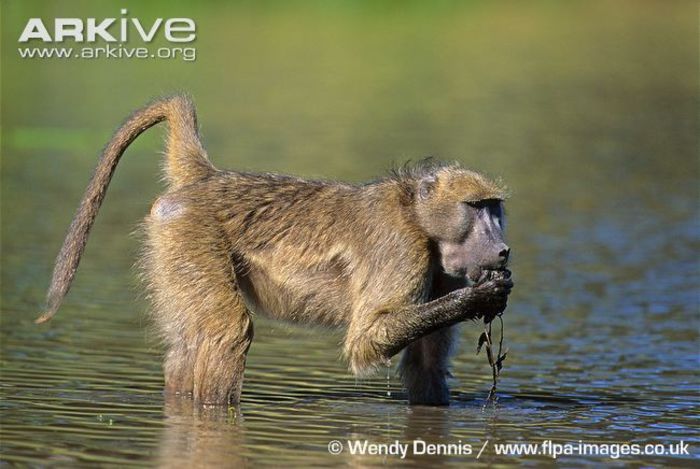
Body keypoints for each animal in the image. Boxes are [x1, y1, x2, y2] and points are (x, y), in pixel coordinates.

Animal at [37, 95, 513, 406]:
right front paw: (479, 297)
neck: (416, 215)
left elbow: (426, 370)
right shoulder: (400, 248)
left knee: (188, 346)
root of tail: (206, 178)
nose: (504, 250)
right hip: (187, 234)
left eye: (495, 208)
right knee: (227, 329)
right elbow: (366, 341)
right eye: (476, 208)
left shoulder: (440, 273)